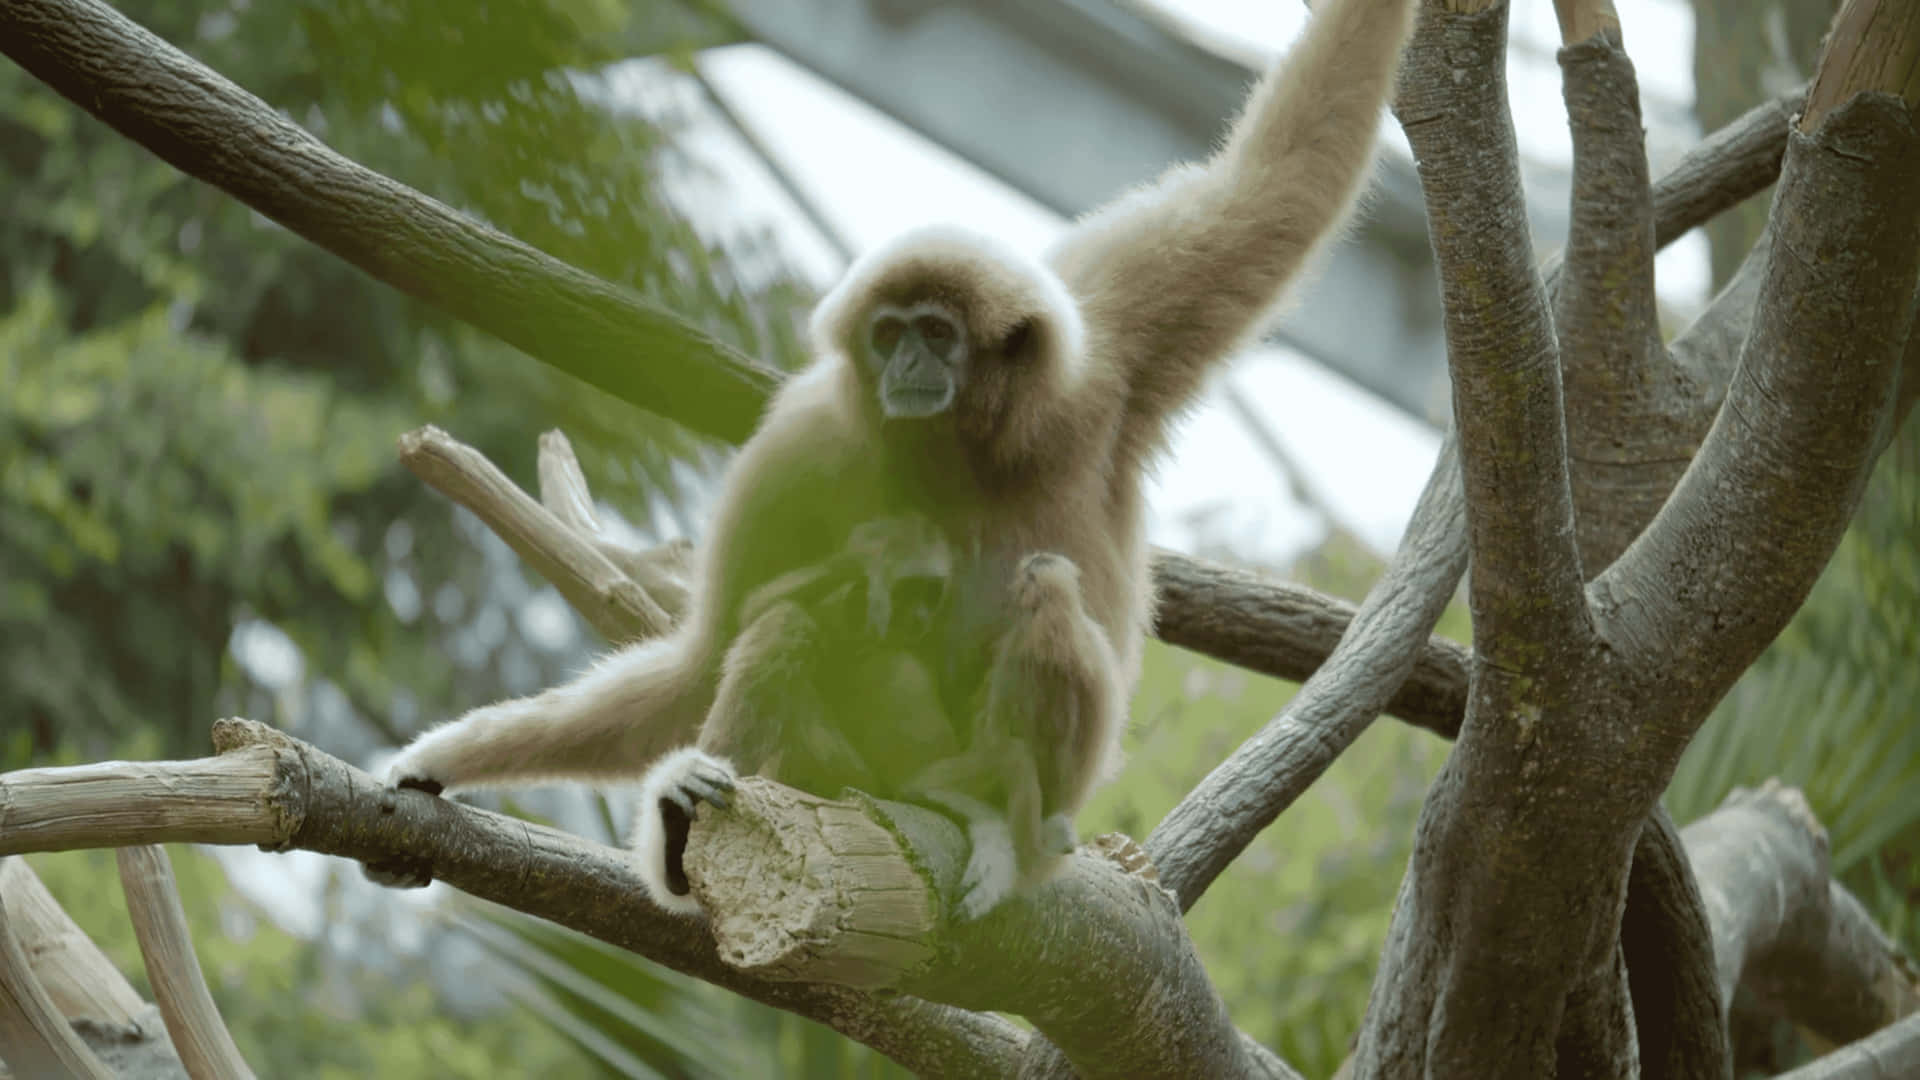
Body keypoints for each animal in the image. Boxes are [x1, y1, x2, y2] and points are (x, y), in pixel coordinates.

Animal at [374, 0, 1419, 918]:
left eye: (938, 333)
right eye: (887, 335)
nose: (909, 361)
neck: (964, 450)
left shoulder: (1105, 348)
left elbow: (1276, 183)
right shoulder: (796, 447)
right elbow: (706, 654)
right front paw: (444, 758)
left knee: (1046, 590)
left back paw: (997, 823)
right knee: (783, 629)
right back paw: (679, 837)